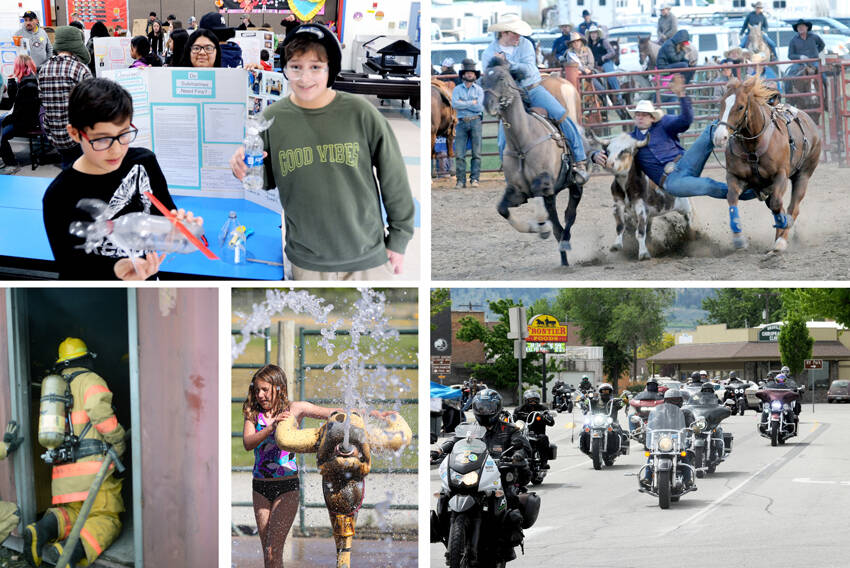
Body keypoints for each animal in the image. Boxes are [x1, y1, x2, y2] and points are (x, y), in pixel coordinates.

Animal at [480, 57, 588, 266]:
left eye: (502, 78)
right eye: (482, 81)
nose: (488, 104)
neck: (522, 145)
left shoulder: (545, 183)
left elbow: (540, 194)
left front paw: (543, 228)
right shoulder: (517, 192)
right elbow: (502, 209)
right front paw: (538, 228)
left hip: (576, 186)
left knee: (569, 215)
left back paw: (564, 242)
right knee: (557, 224)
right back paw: (563, 256)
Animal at [712, 75, 820, 253]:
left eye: (740, 106)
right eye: (721, 103)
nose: (720, 137)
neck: (753, 146)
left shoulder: (780, 176)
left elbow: (778, 205)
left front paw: (784, 227)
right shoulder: (735, 176)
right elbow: (732, 199)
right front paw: (738, 238)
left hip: (803, 175)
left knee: (792, 208)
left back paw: (781, 240)